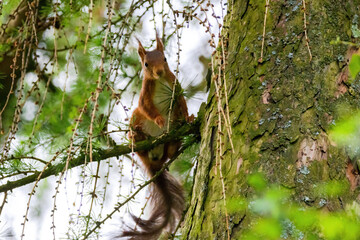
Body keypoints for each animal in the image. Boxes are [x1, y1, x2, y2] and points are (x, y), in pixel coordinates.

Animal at [121, 33, 191, 238]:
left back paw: (175, 143)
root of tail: (153, 162)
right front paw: (159, 119)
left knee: (170, 152)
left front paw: (188, 117)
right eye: (145, 64)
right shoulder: (144, 95)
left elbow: (182, 104)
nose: (159, 72)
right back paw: (136, 136)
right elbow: (147, 108)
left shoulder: (175, 85)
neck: (159, 81)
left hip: (171, 136)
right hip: (136, 119)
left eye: (165, 59)